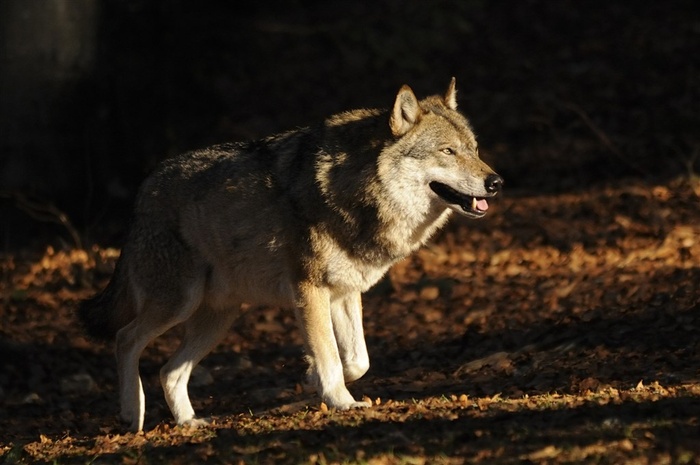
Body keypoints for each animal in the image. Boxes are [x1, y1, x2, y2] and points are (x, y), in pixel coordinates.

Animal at [78, 78, 504, 430]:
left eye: (475, 149)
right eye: (448, 151)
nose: (496, 182)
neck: (356, 188)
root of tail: (143, 190)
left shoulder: (345, 293)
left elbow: (355, 360)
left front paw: (313, 378)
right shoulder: (309, 290)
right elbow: (330, 354)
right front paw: (340, 401)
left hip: (218, 319)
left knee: (169, 371)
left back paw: (188, 423)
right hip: (178, 304)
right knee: (126, 339)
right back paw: (132, 415)